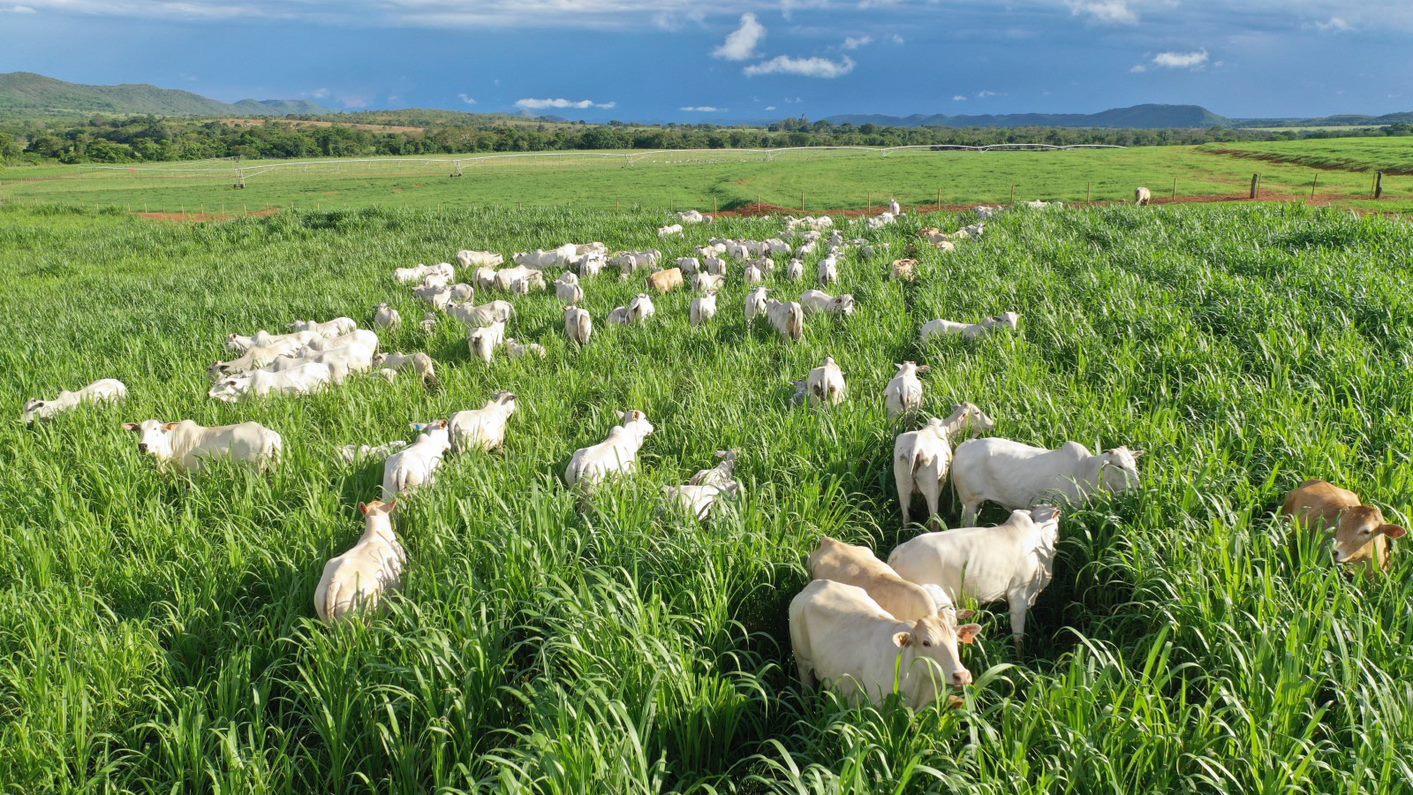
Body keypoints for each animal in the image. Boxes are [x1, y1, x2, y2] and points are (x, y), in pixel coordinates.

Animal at [943, 437, 1141, 525]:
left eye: (1133, 464)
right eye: (1120, 466)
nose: (1138, 488)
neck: (1086, 471)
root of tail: (962, 447)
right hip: (969, 502)